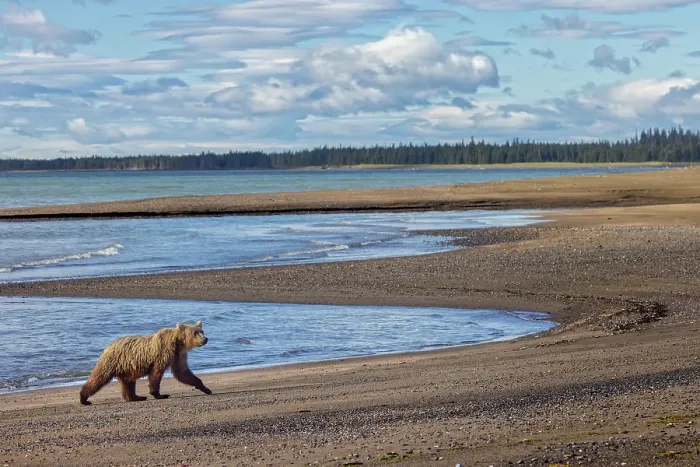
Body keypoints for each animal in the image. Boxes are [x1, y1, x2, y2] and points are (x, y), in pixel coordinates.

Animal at [79, 321, 212, 405]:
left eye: (202, 331)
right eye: (195, 332)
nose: (205, 339)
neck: (179, 343)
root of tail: (107, 347)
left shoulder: (179, 355)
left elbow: (183, 372)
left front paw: (205, 388)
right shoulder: (163, 352)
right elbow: (156, 373)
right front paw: (159, 394)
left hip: (126, 368)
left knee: (128, 382)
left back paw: (136, 397)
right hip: (113, 361)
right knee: (99, 377)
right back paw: (84, 398)